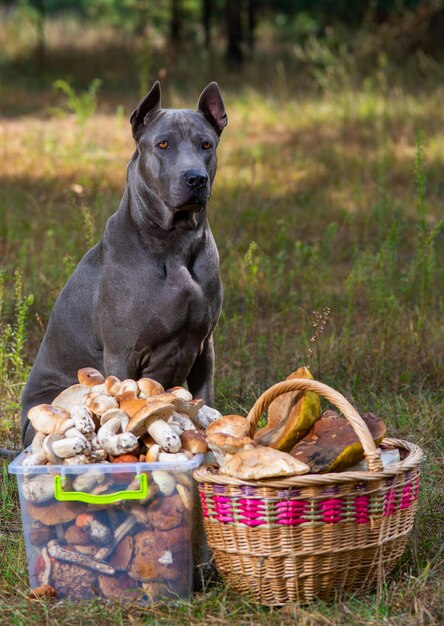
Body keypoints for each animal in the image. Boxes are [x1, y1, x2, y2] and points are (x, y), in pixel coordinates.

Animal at [21, 81, 227, 444]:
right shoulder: (122, 353)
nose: (196, 178)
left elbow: (206, 397)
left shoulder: (205, 347)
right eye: (163, 144)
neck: (173, 244)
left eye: (206, 144)